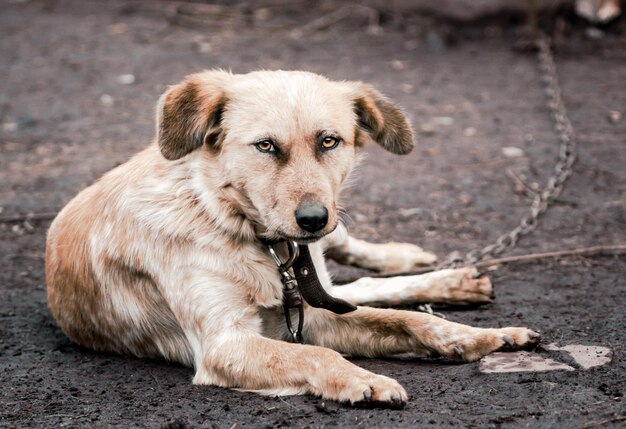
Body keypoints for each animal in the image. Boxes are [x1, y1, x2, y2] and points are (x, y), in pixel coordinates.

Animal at [46, 69, 540, 404]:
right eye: (265, 146)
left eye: (329, 141)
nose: (313, 219)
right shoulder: (229, 343)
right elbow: (318, 355)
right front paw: (364, 379)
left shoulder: (311, 311)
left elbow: (404, 321)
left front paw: (477, 336)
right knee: (357, 288)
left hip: (333, 245)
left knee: (359, 272)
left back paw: (426, 270)